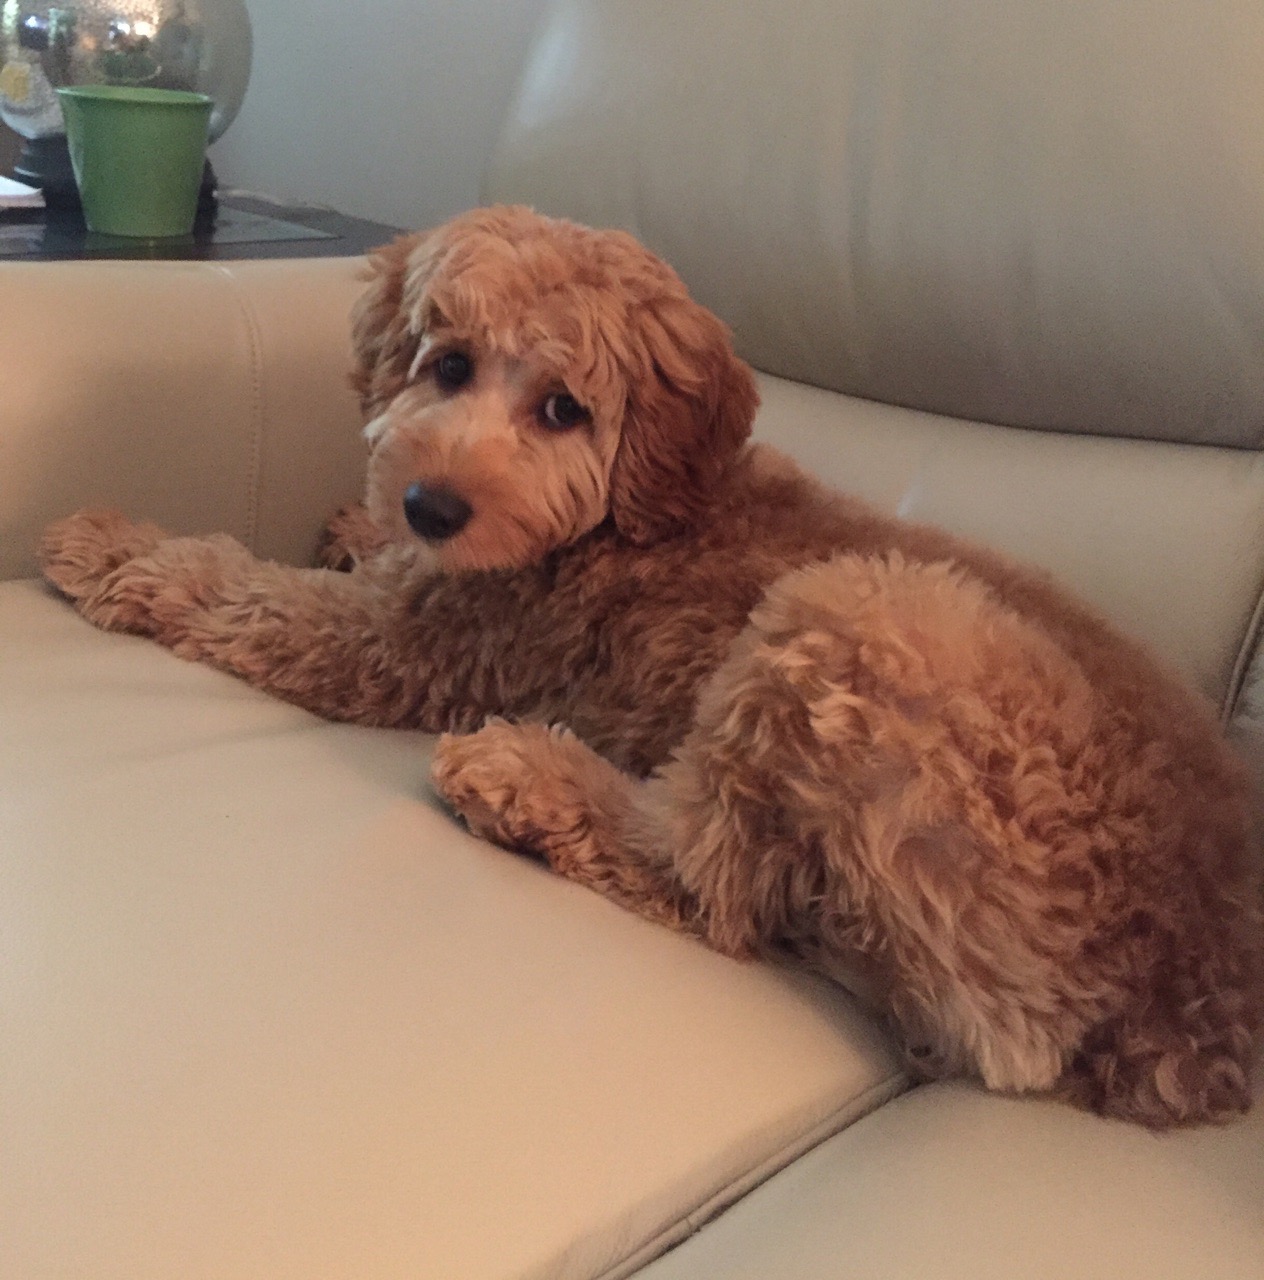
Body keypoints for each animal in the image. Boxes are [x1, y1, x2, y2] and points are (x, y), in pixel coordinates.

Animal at [42, 205, 1262, 1127]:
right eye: (448, 365)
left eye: (562, 409)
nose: (432, 504)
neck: (616, 522)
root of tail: (1197, 994)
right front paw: (349, 523)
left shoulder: (409, 648)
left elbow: (247, 592)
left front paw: (118, 548)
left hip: (854, 613)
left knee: (707, 882)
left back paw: (530, 779)